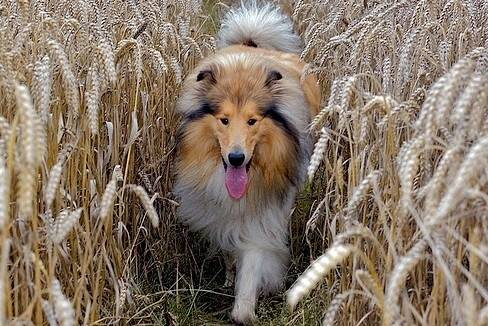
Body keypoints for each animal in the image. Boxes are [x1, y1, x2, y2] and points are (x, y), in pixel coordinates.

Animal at [174, 1, 320, 324]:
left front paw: (246, 307)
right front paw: (231, 275)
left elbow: (253, 259)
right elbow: (229, 246)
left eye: (253, 121)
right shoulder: (220, 209)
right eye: (224, 120)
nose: (236, 158)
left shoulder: (264, 213)